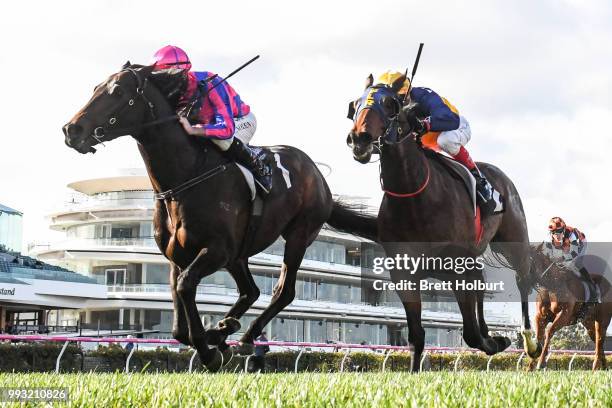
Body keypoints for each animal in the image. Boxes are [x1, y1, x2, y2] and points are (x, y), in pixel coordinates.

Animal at [63, 63, 378, 370]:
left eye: (117, 91)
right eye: (95, 88)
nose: (71, 129)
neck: (185, 177)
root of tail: (320, 179)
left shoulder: (216, 250)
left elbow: (186, 286)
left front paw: (209, 352)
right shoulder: (178, 257)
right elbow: (178, 322)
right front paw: (214, 341)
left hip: (298, 235)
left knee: (283, 291)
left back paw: (245, 336)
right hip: (239, 255)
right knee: (251, 291)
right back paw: (225, 330)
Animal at [344, 73, 540, 370]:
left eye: (389, 104)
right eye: (355, 104)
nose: (359, 139)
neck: (415, 197)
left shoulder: (456, 267)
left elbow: (470, 334)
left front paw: (496, 341)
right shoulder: (404, 273)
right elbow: (416, 335)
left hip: (513, 240)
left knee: (522, 279)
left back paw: (530, 342)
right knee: (480, 281)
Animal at [528, 244, 608, 372]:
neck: (552, 285)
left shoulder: (564, 315)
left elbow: (549, 332)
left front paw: (541, 363)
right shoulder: (540, 316)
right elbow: (539, 337)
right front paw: (530, 368)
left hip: (603, 320)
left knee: (599, 341)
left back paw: (595, 368)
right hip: (588, 322)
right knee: (597, 340)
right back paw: (604, 367)